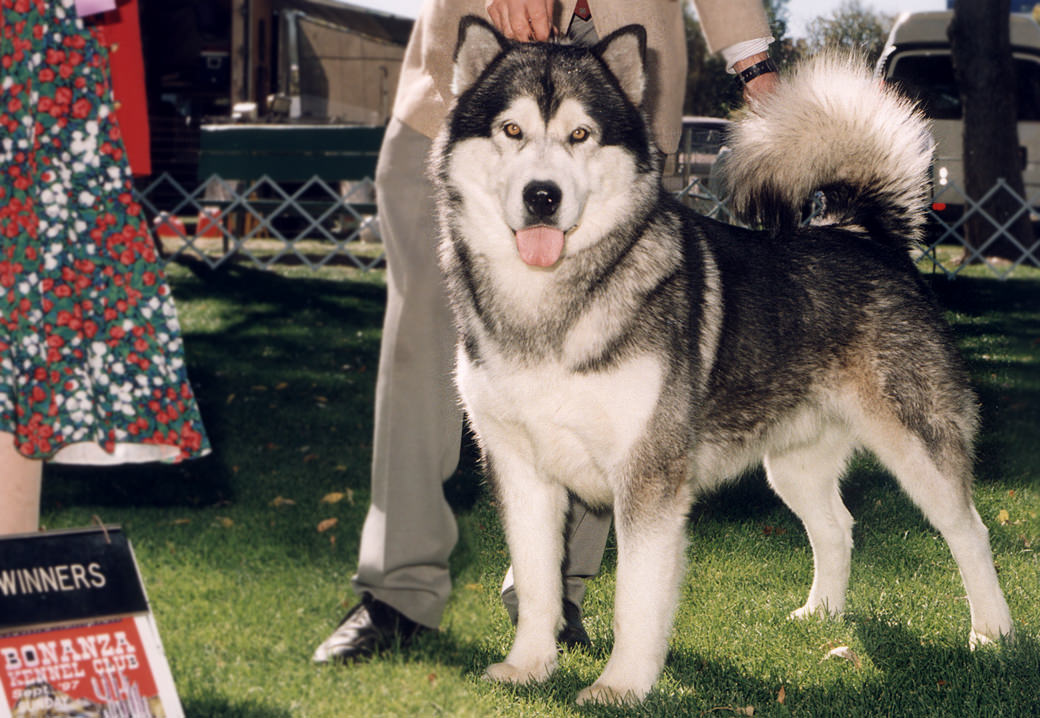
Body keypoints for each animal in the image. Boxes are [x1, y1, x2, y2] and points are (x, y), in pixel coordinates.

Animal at [432, 16, 1015, 703]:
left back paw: (992, 634)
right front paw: (528, 666)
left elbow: (635, 600)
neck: (545, 307)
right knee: (837, 527)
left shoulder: (648, 478)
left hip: (918, 447)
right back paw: (822, 615)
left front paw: (622, 686)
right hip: (791, 464)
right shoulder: (521, 471)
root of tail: (859, 232)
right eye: (512, 131)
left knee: (970, 532)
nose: (541, 196)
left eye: (579, 135)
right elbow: (536, 584)